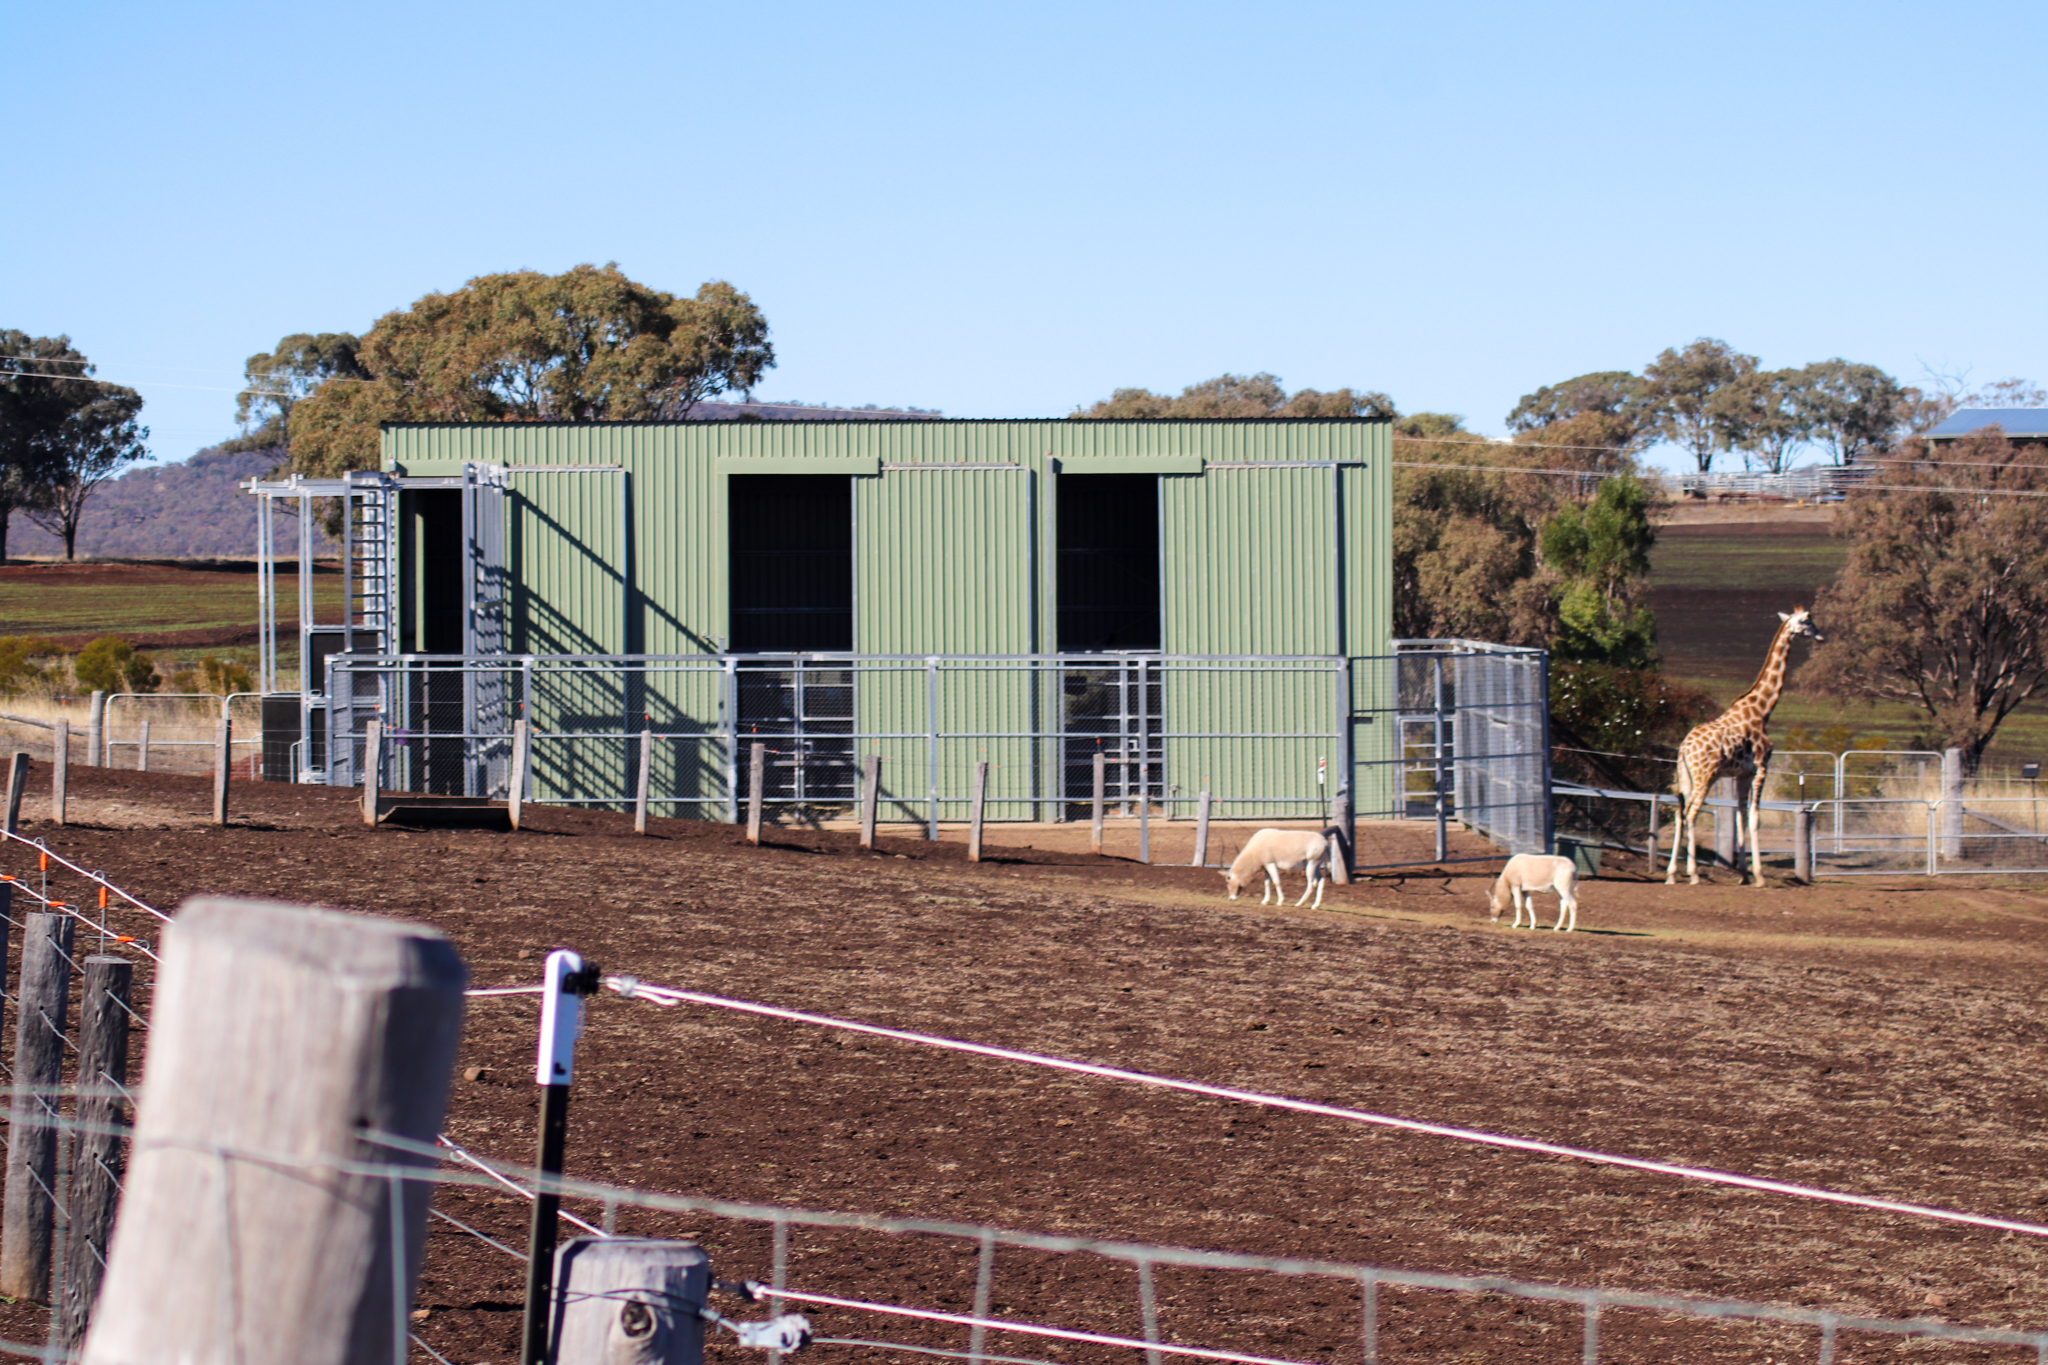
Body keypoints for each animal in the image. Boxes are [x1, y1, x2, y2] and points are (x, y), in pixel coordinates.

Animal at [1664, 606, 1825, 886]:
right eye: (1807, 621)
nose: (1820, 637)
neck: (1762, 710)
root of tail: (1684, 749)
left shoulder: (1742, 774)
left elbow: (1740, 816)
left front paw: (1744, 875)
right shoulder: (1761, 768)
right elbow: (1754, 818)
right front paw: (1759, 877)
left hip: (1686, 776)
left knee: (1679, 812)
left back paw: (1672, 874)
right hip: (1706, 776)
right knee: (1691, 813)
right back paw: (1693, 874)